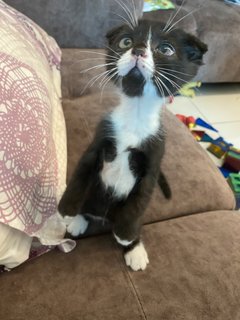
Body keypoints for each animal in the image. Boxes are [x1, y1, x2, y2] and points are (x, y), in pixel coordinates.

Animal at [57, 18, 206, 272]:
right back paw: (80, 219)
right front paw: (67, 210)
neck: (134, 118)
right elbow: (81, 173)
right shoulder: (99, 140)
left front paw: (127, 237)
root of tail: (104, 216)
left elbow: (139, 201)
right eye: (125, 42)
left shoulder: (154, 158)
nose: (137, 49)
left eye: (165, 49)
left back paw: (134, 246)